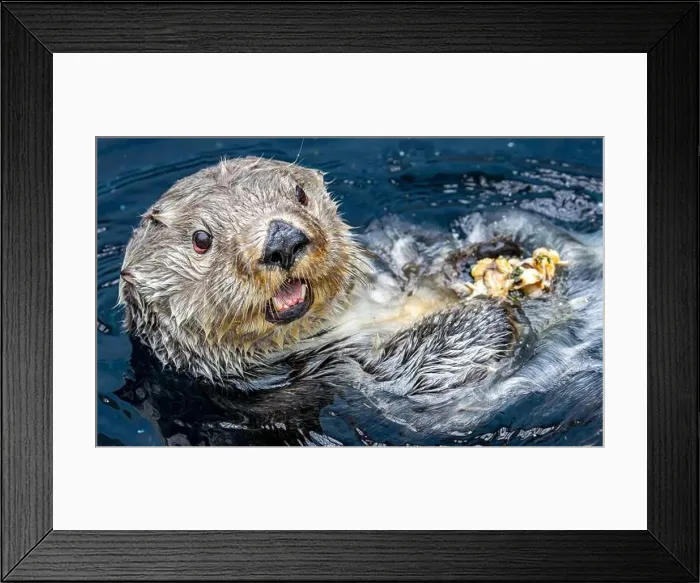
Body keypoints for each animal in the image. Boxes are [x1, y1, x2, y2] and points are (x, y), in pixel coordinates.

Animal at [117, 157, 603, 445]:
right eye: (201, 239)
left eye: (299, 195)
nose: (283, 240)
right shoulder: (326, 377)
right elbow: (416, 378)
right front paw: (487, 312)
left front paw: (490, 258)